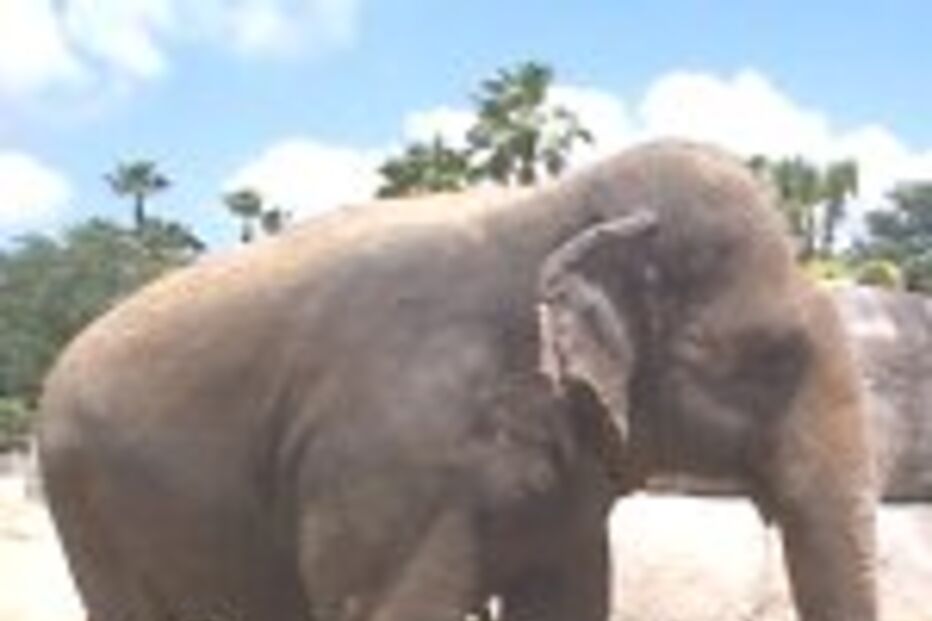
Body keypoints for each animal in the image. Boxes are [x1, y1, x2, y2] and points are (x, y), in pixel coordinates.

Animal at [37, 140, 876, 621]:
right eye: (767, 357)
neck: (556, 207)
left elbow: (567, 594)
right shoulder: (396, 458)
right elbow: (396, 605)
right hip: (82, 500)